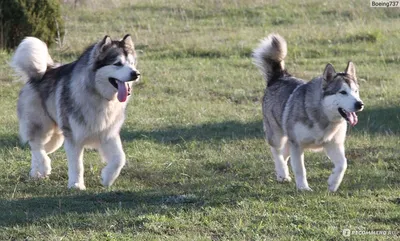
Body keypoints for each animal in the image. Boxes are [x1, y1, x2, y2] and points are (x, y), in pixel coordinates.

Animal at [11, 34, 140, 189]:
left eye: (132, 63)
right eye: (118, 64)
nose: (136, 74)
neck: (98, 95)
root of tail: (44, 71)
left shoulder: (108, 134)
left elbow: (120, 159)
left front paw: (107, 178)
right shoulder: (74, 138)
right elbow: (77, 165)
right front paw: (76, 184)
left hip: (57, 138)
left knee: (40, 149)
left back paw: (36, 172)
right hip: (41, 126)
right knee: (36, 145)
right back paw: (44, 167)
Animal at [255, 34, 364, 192]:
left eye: (355, 91)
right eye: (342, 92)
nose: (360, 104)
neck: (323, 117)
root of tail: (280, 76)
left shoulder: (333, 144)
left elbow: (343, 164)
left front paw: (332, 184)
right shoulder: (297, 144)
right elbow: (300, 169)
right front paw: (303, 188)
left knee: (284, 153)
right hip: (276, 135)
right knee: (277, 152)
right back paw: (282, 174)